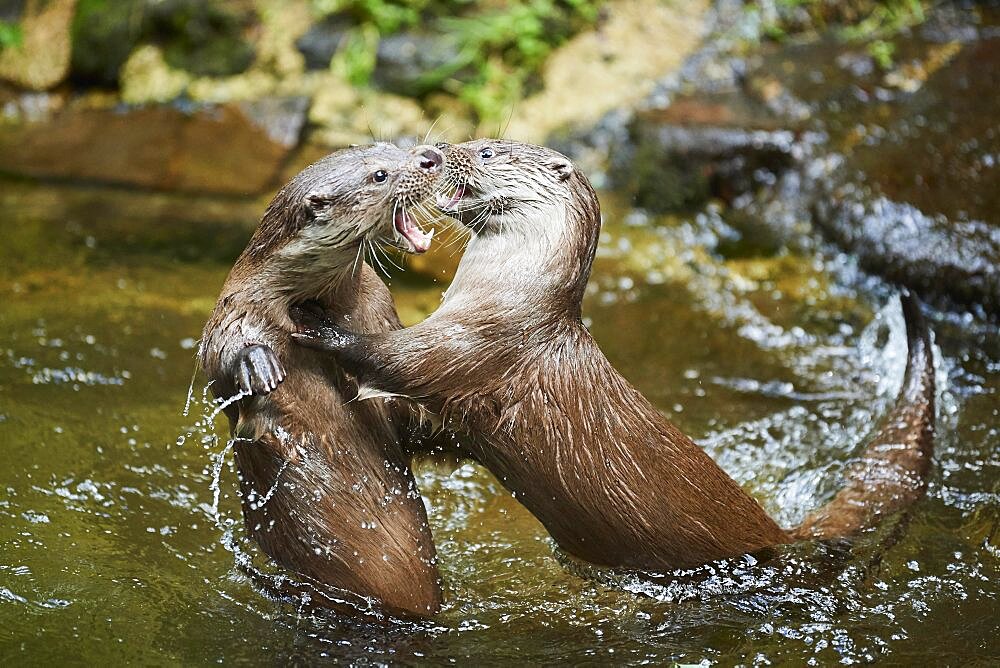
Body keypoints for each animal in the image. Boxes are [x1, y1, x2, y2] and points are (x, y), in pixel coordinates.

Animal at [199, 144, 442, 620]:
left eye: (396, 145)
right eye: (380, 174)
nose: (429, 156)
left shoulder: (379, 308)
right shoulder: (237, 302)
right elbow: (218, 353)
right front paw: (257, 363)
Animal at [292, 140, 936, 576]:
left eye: (488, 148)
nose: (438, 151)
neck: (511, 295)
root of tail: (778, 529)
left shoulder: (481, 343)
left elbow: (403, 360)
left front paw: (321, 326)